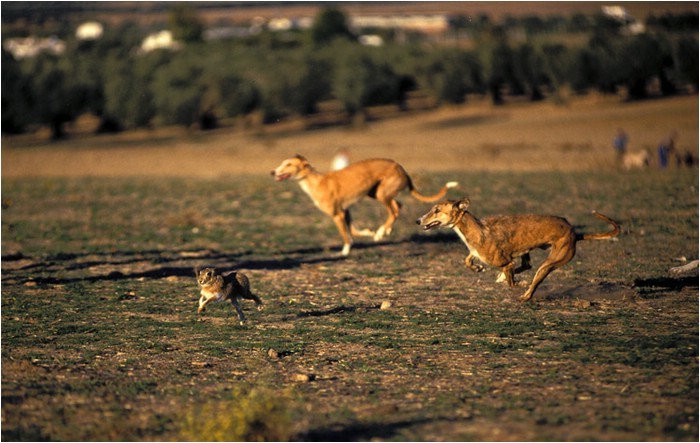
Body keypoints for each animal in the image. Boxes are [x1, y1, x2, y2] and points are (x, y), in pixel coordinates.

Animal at [270, 155, 456, 256]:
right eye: (282, 163)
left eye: (288, 164)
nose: (272, 172)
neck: (315, 181)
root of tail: (401, 168)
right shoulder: (345, 211)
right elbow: (353, 231)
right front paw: (368, 232)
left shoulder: (337, 214)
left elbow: (345, 235)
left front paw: (345, 251)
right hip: (376, 192)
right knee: (398, 205)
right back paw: (384, 230)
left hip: (382, 194)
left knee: (394, 210)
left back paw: (381, 232)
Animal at [416, 200, 616, 302]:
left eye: (436, 210)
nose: (418, 220)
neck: (476, 228)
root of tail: (574, 232)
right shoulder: (478, 253)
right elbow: (468, 260)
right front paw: (478, 268)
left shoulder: (506, 262)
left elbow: (512, 281)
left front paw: (516, 282)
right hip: (529, 253)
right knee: (527, 265)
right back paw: (504, 277)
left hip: (550, 263)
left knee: (532, 282)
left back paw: (523, 293)